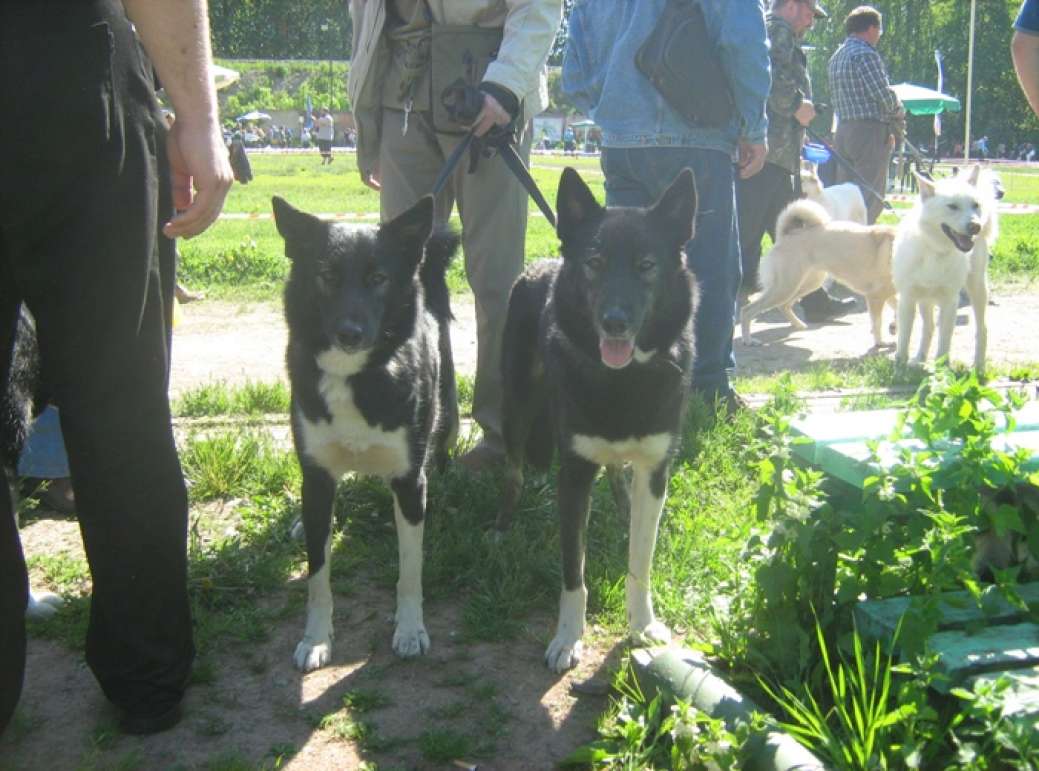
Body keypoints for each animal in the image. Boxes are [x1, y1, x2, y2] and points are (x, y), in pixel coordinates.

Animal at [273, 194, 459, 671]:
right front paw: (316, 639)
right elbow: (317, 576)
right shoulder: (318, 478)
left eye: (378, 279)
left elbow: (410, 570)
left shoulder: (410, 481)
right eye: (326, 276)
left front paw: (410, 630)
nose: (349, 334)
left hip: (445, 414)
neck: (353, 375)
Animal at [495, 168, 698, 673]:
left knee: (618, 473)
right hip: (515, 406)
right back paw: (502, 525)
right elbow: (574, 572)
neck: (622, 378)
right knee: (513, 472)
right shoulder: (573, 473)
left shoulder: (656, 469)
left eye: (646, 265)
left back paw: (624, 509)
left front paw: (643, 626)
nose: (615, 322)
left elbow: (640, 561)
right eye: (594, 262)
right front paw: (567, 639)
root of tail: (542, 264)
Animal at [739, 199, 897, 348]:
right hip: (785, 288)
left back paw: (799, 325)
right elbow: (877, 324)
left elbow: (897, 311)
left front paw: (894, 327)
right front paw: (880, 343)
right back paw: (748, 340)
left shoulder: (889, 295)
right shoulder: (875, 296)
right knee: (747, 310)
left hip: (807, 284)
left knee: (784, 306)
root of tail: (786, 235)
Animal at [893, 166, 990, 372]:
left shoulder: (950, 300)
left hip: (977, 287)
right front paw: (900, 366)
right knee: (928, 326)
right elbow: (904, 337)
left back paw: (979, 366)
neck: (935, 250)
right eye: (952, 206)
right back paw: (919, 358)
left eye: (975, 205)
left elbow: (945, 340)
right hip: (924, 299)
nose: (976, 227)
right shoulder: (907, 298)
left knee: (982, 328)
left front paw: (942, 369)